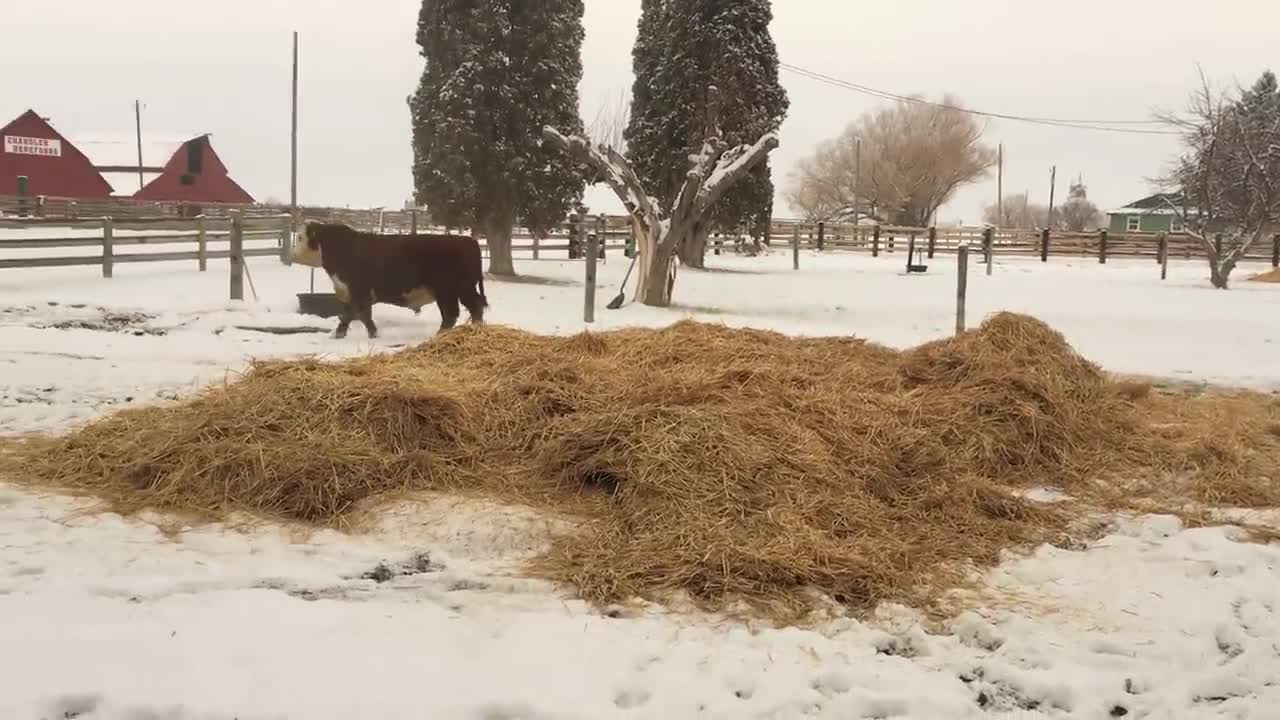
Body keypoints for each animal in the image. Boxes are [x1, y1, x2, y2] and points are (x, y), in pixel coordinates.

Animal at [291, 220, 488, 338]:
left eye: (300, 237)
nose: (292, 255)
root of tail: (468, 240)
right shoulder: (354, 292)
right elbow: (356, 314)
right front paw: (349, 333)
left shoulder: (358, 290)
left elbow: (355, 314)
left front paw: (363, 333)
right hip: (452, 291)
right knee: (456, 313)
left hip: (454, 289)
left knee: (465, 309)